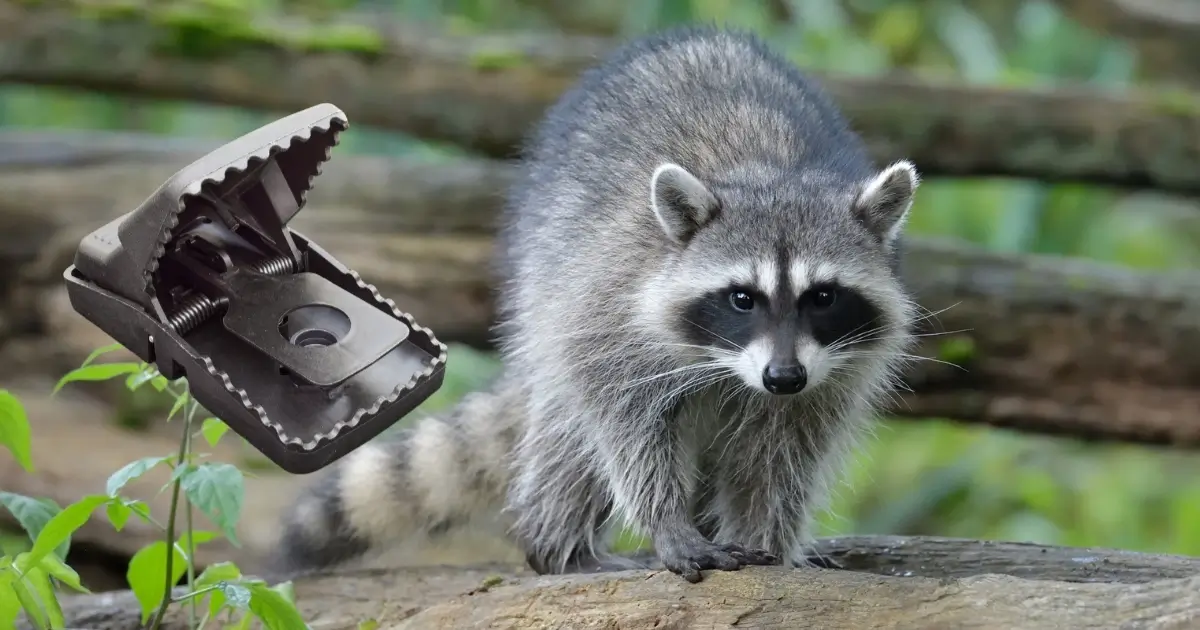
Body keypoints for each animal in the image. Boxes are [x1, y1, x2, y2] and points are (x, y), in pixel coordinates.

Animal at [274, 25, 921, 584]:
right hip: (545, 276)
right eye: (743, 298)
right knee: (568, 433)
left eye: (823, 297)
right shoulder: (611, 302)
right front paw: (666, 522)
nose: (782, 377)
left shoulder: (833, 369)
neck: (773, 175)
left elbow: (783, 453)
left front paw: (770, 540)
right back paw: (559, 544)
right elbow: (621, 418)